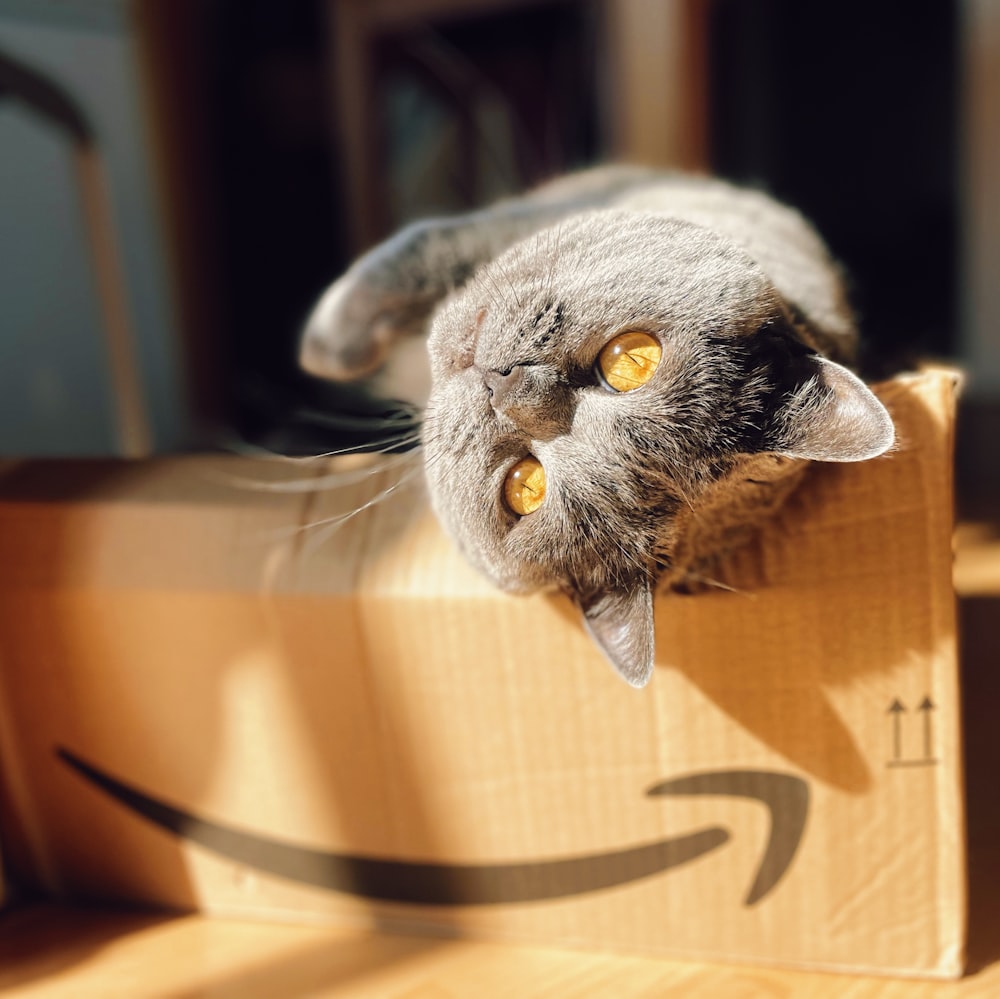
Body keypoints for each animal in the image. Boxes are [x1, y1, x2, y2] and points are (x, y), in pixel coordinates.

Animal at [300, 170, 896, 688]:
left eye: (525, 487)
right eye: (633, 362)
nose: (503, 386)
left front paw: (321, 347)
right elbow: (423, 250)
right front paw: (328, 346)